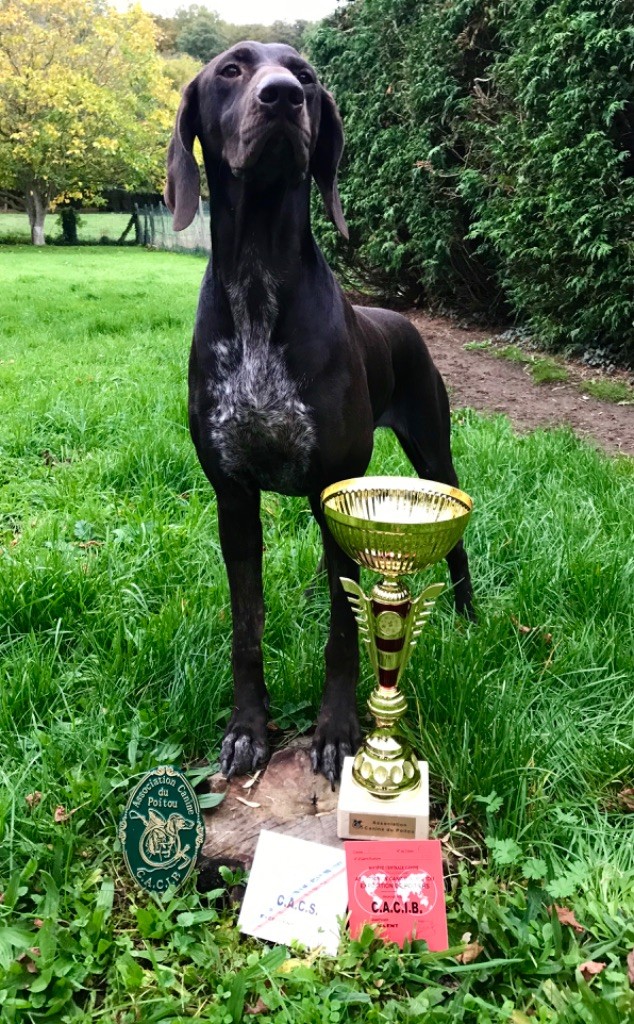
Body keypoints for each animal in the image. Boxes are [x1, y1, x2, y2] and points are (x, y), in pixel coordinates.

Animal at [165, 39, 473, 782]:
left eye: (305, 74)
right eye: (231, 70)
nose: (281, 96)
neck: (257, 279)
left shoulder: (336, 491)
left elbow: (342, 629)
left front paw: (337, 732)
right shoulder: (235, 499)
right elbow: (247, 628)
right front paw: (247, 727)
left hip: (433, 456)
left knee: (456, 548)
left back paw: (470, 617)